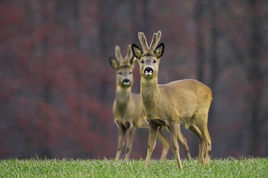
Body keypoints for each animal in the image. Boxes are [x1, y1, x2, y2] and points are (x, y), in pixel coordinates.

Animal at [131, 31, 211, 170]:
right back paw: (199, 165)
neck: (158, 103)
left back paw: (206, 164)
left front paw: (180, 168)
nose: (148, 69)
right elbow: (150, 146)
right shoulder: (152, 122)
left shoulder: (173, 120)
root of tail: (209, 90)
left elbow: (175, 146)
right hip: (190, 120)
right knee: (201, 138)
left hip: (202, 113)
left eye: (154, 60)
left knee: (207, 139)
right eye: (142, 60)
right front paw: (145, 167)